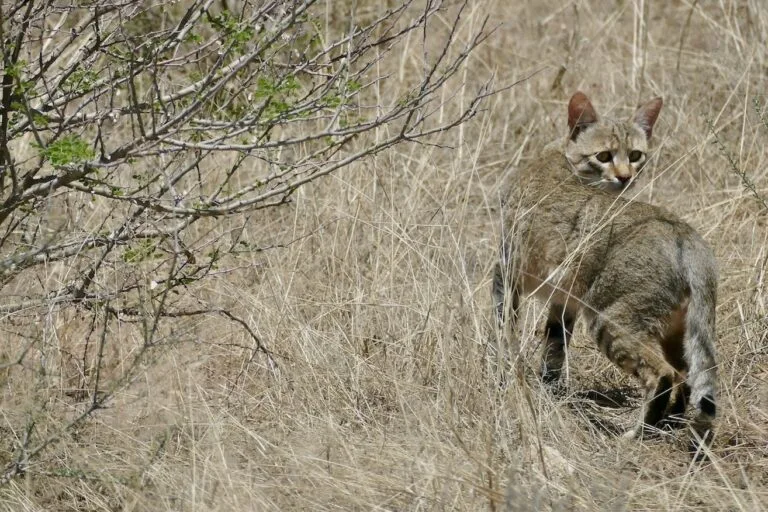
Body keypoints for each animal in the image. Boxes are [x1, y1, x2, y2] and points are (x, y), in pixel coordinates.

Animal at [496, 92, 716, 456]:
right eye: (603, 156)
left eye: (636, 155)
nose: (625, 177)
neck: (558, 155)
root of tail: (682, 230)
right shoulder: (564, 301)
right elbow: (554, 347)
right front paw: (548, 388)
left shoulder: (507, 273)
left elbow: (504, 331)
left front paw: (504, 370)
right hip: (676, 328)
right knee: (685, 375)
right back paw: (670, 422)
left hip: (610, 320)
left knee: (664, 375)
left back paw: (639, 432)